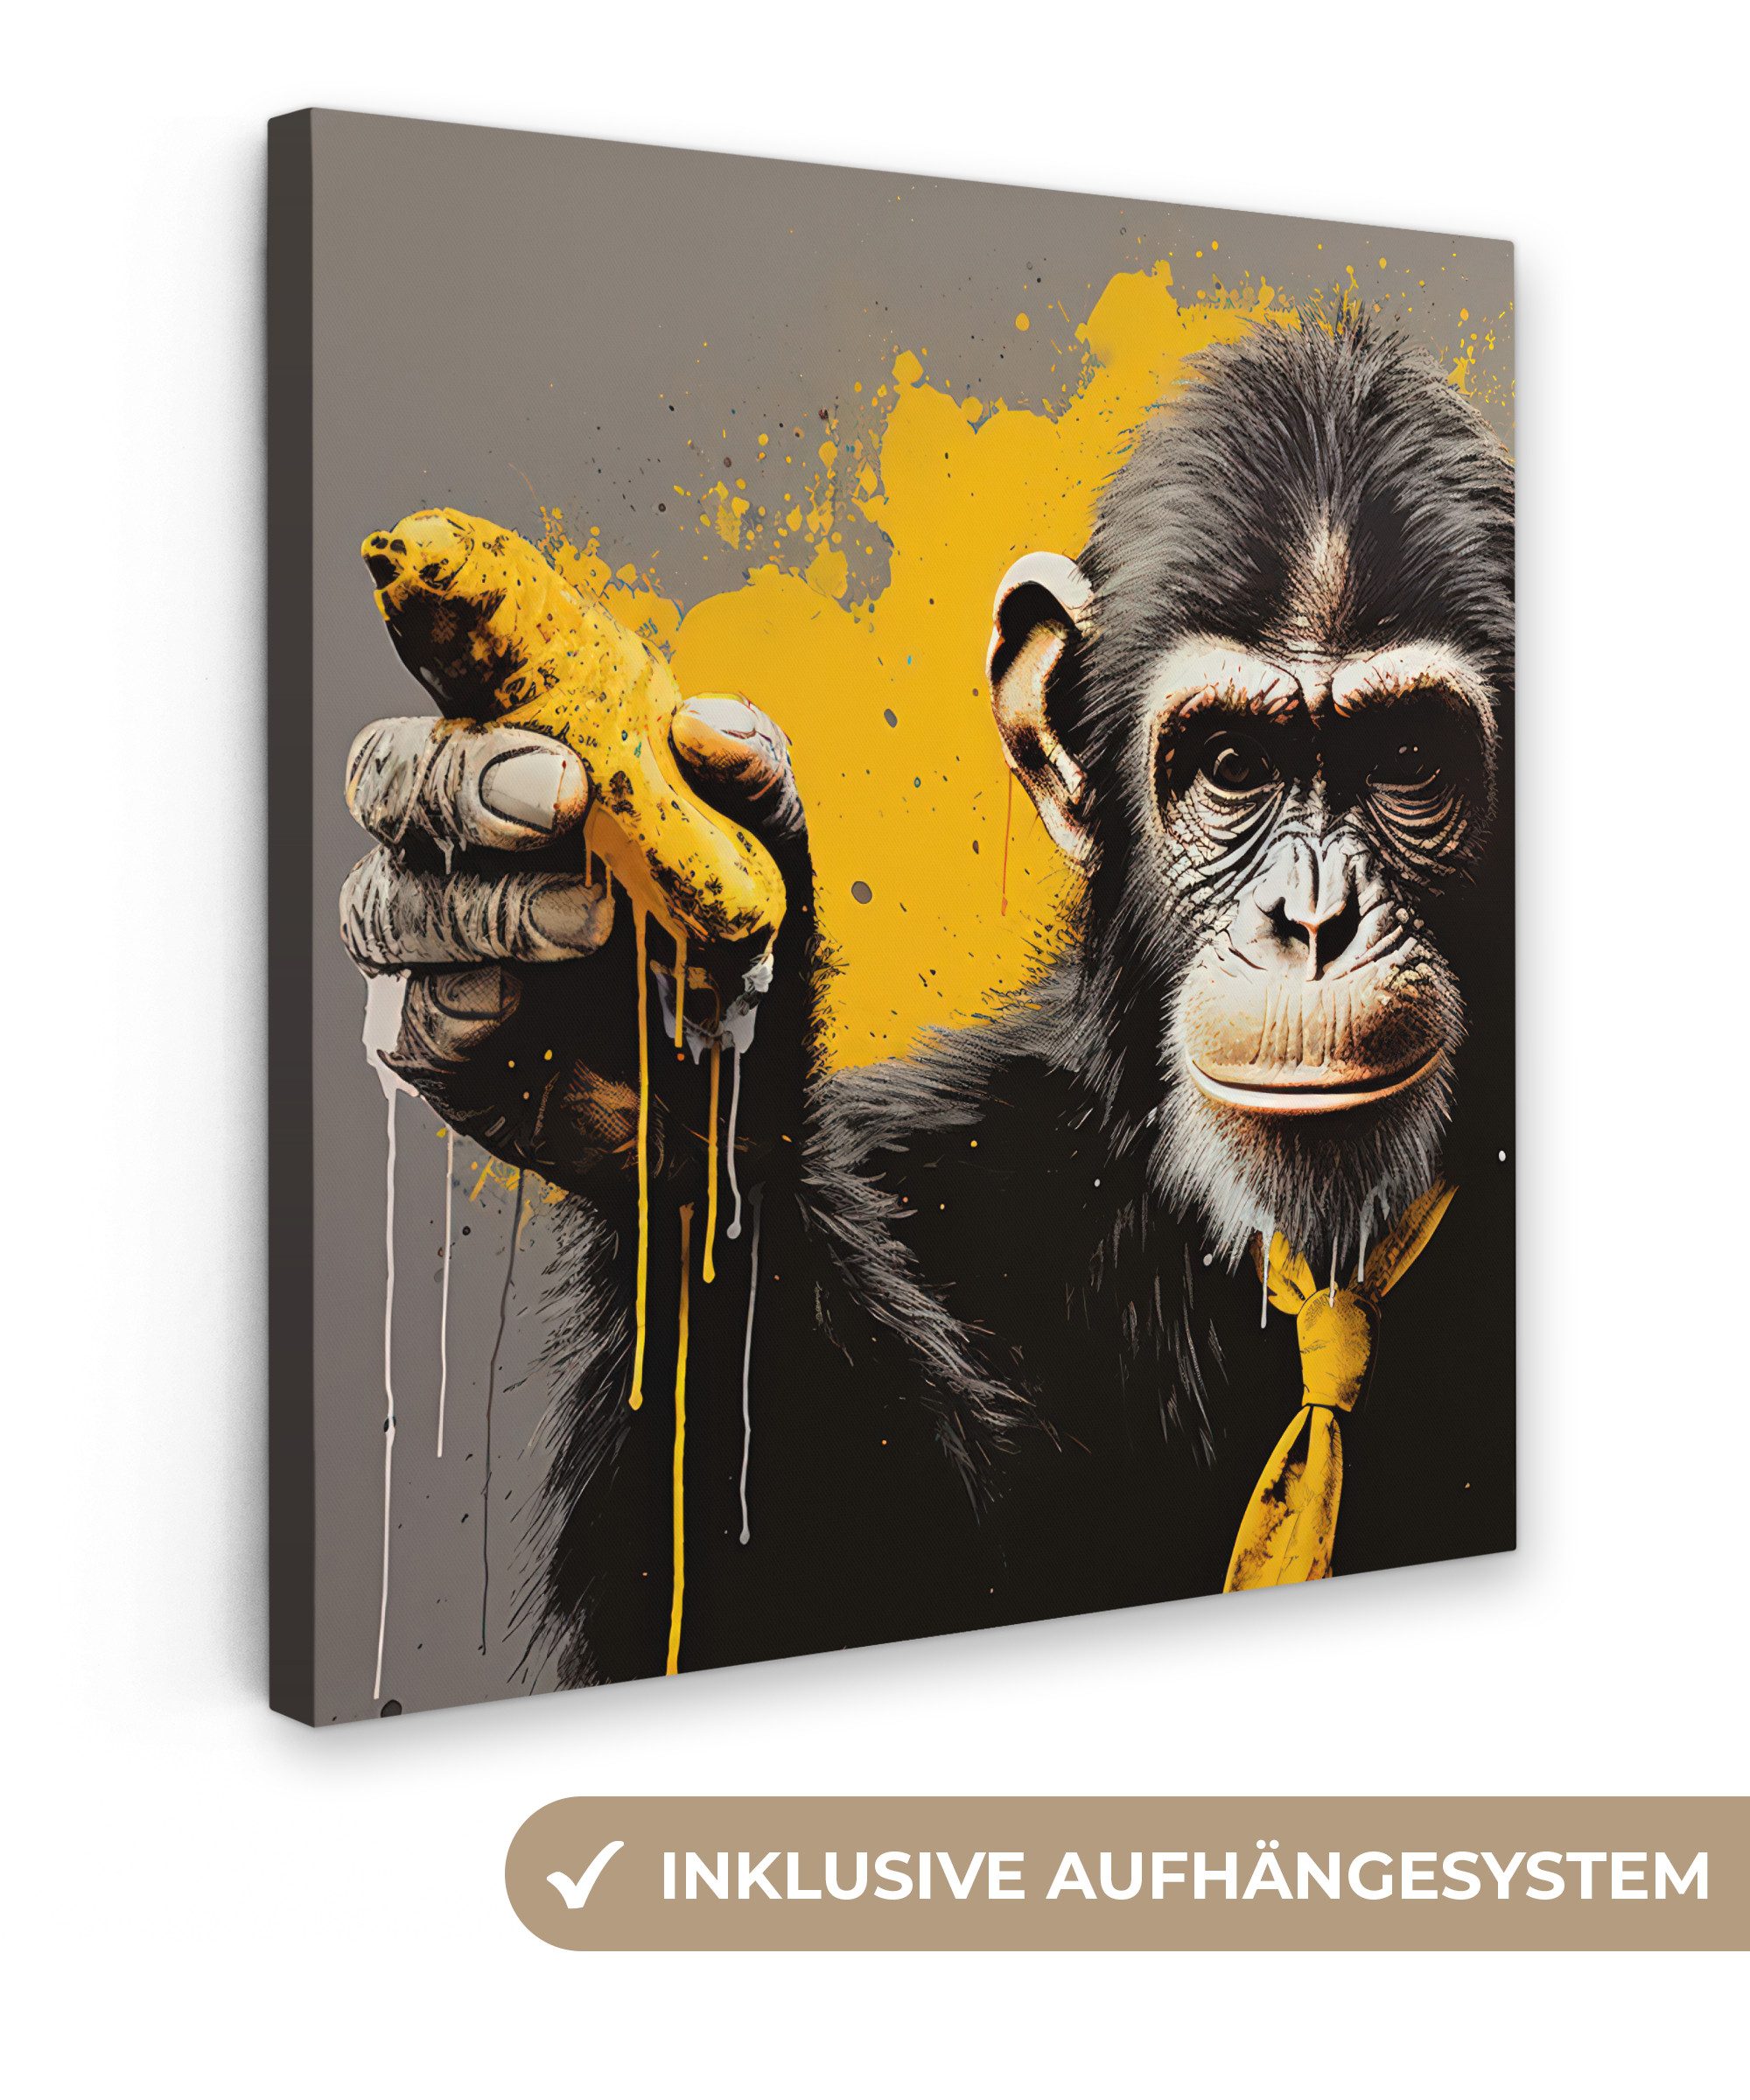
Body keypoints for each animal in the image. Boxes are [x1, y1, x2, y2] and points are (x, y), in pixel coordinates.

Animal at [340, 309, 1514, 1687]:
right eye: (1234, 765)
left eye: (1407, 760)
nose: (1316, 923)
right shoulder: (926, 1145)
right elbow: (799, 1586)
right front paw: (653, 1079)